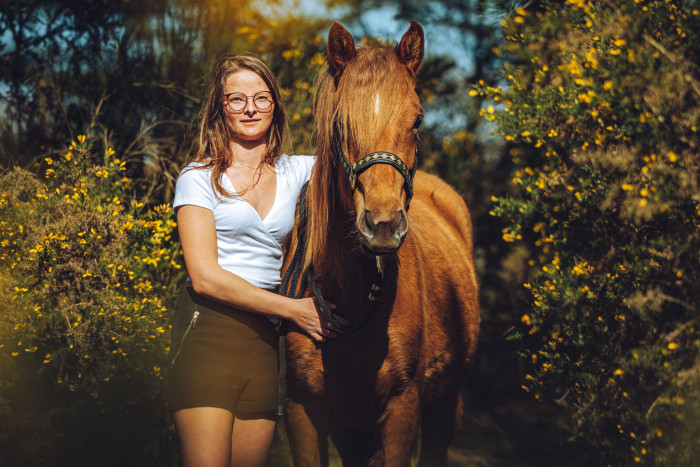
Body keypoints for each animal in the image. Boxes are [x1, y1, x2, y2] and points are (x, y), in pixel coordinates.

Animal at [282, 20, 478, 466]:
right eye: (340, 124)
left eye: (418, 120)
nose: (384, 226)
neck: (351, 299)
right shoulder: (305, 413)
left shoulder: (402, 409)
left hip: (446, 404)